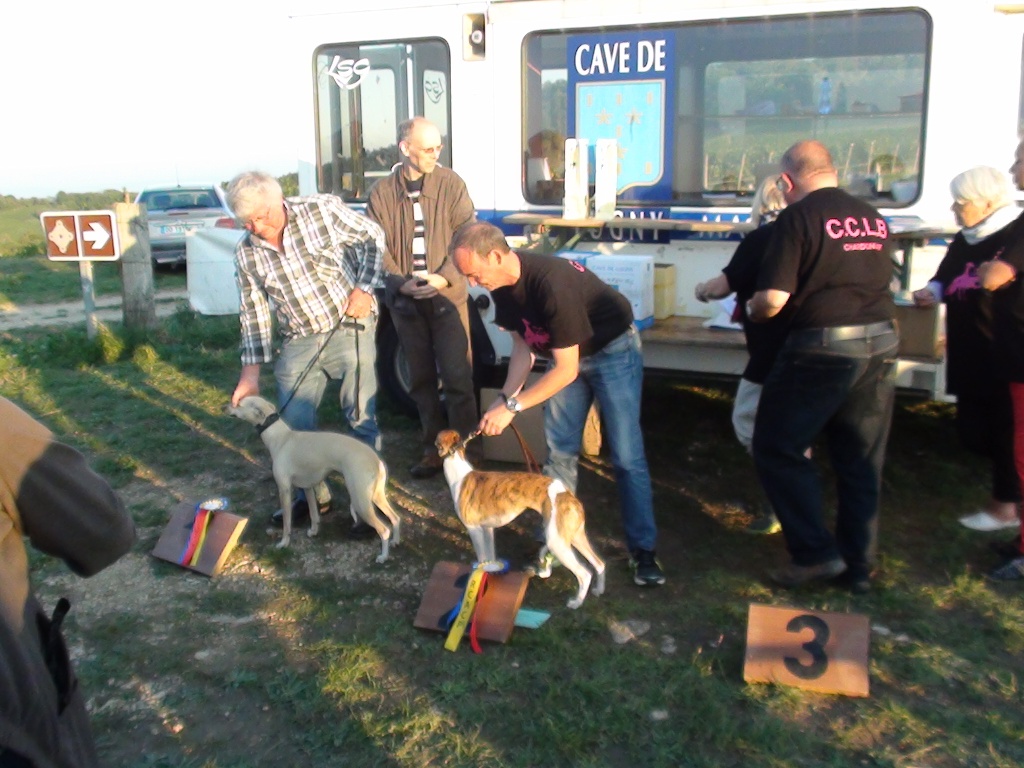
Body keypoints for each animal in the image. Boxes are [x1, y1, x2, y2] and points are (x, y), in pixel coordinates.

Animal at [434, 430, 606, 610]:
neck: (460, 475)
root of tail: (568, 495)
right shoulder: (487, 529)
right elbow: (490, 557)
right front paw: (491, 572)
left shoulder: (474, 529)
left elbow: (482, 558)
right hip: (575, 537)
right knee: (599, 564)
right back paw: (599, 589)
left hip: (557, 543)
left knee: (585, 574)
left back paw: (576, 602)